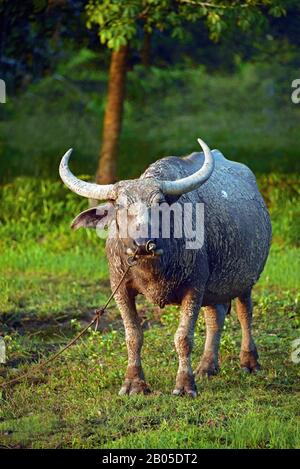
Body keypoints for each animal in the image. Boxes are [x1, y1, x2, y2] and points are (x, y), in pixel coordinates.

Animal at [59, 138, 272, 394]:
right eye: (119, 206)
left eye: (160, 203)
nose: (142, 244)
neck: (153, 269)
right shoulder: (119, 288)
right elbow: (133, 335)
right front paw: (134, 383)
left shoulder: (195, 286)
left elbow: (183, 338)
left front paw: (185, 385)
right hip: (215, 286)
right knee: (215, 317)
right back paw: (207, 366)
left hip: (245, 279)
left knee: (244, 313)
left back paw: (249, 361)